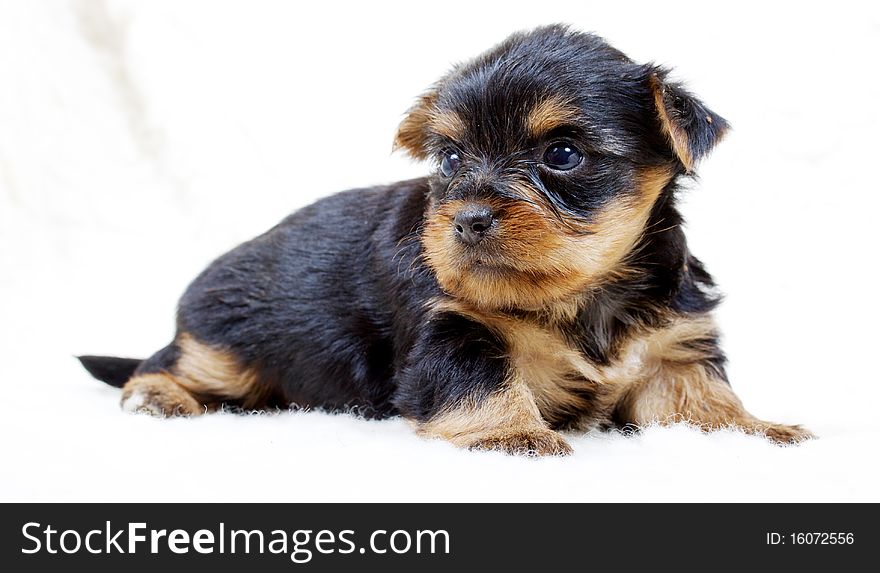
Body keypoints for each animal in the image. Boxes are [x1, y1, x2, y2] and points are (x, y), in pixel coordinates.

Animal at [79, 25, 816, 456]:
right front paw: (514, 433)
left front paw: (755, 428)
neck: (585, 293)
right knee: (172, 361)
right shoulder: (452, 330)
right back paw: (157, 395)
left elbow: (698, 401)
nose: (466, 219)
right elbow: (482, 382)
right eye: (452, 159)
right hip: (228, 339)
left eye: (564, 155)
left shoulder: (672, 345)